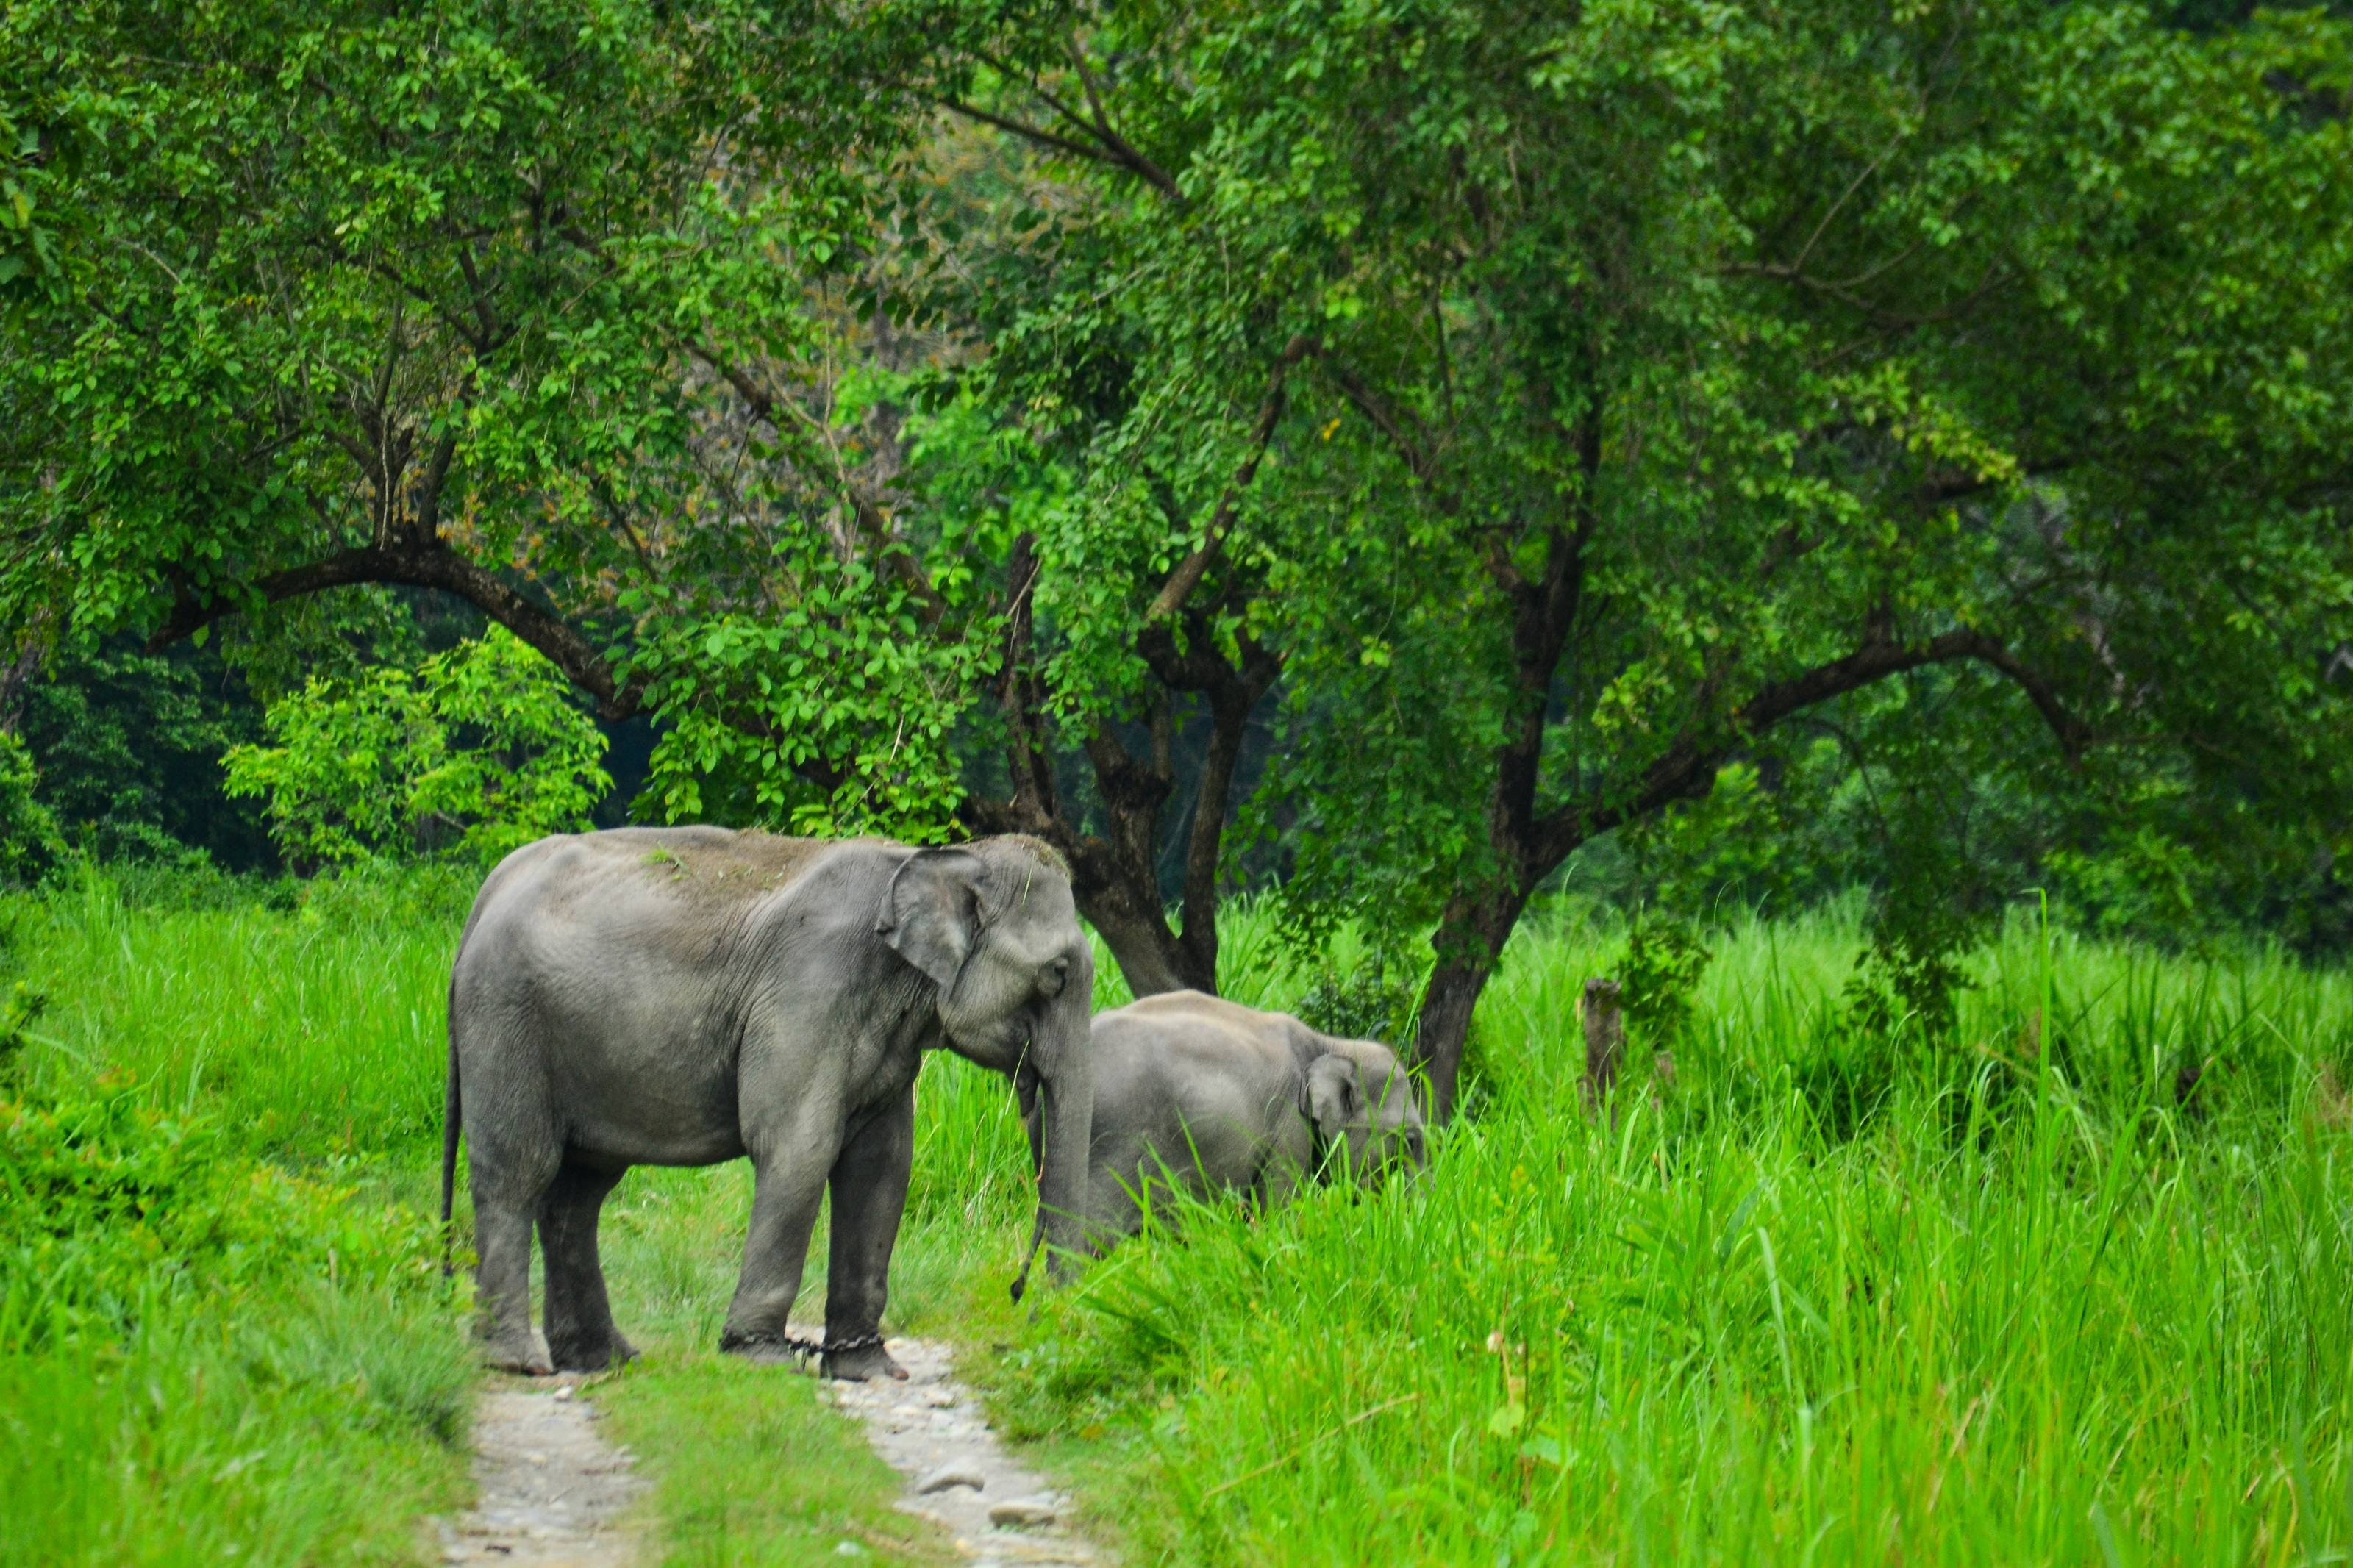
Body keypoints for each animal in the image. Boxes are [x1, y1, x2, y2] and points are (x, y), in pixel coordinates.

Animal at [440, 827, 1091, 1382]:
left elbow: (881, 1166)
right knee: (518, 1172)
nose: (1021, 1296)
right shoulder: (809, 990)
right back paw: (517, 1361)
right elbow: (800, 1146)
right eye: (1057, 973)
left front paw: (870, 1369)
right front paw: (761, 1356)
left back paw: (604, 1359)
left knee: (578, 1194)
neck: (934, 857)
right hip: (505, 1016)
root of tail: (485, 895)